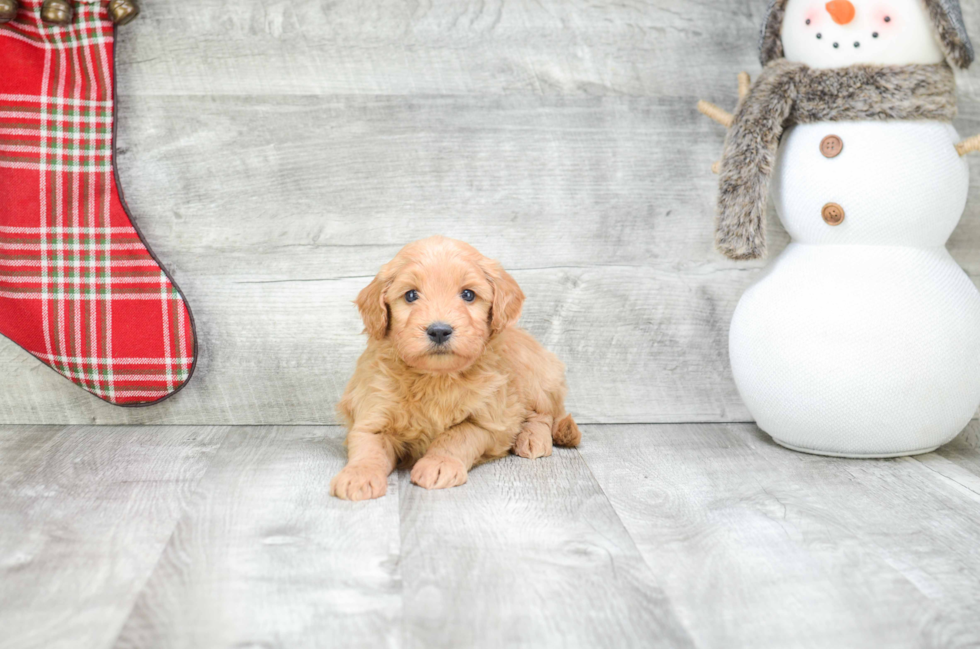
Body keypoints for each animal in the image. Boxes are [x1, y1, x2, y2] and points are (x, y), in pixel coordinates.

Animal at [334, 235, 580, 498]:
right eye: (410, 295)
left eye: (468, 295)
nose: (439, 330)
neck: (435, 377)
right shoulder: (372, 412)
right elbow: (367, 447)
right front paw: (358, 475)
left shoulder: (488, 419)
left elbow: (456, 436)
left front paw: (439, 464)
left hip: (535, 373)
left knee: (544, 413)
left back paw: (533, 438)